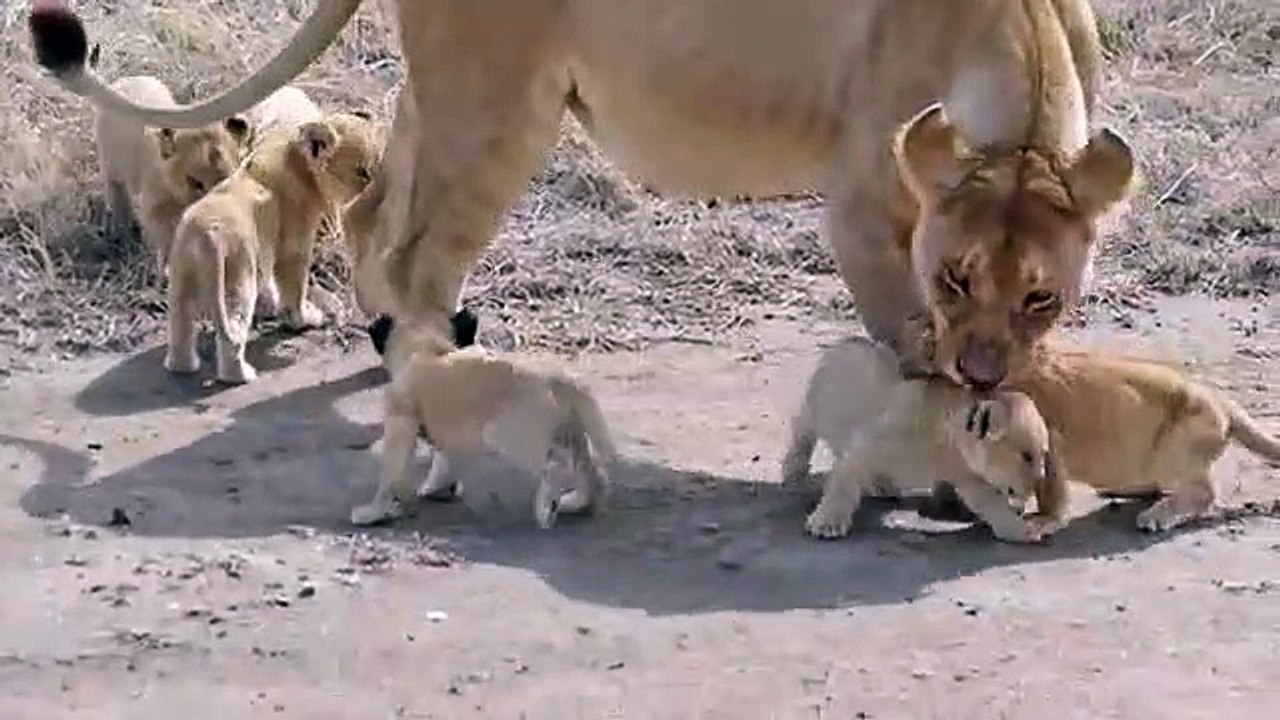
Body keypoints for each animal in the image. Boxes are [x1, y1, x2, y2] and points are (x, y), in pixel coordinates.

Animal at [92, 74, 250, 270]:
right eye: (195, 182)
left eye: (229, 176)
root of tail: (124, 80)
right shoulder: (154, 203)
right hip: (110, 167)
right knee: (116, 197)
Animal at [164, 113, 380, 384]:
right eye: (364, 172)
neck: (299, 161)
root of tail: (205, 238)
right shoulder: (294, 243)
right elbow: (293, 285)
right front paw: (306, 318)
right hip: (238, 276)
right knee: (233, 330)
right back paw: (242, 375)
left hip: (181, 281)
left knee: (180, 325)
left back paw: (183, 366)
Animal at [351, 310, 616, 528]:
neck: (429, 349)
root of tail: (558, 377)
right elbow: (444, 462)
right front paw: (435, 488)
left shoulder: (399, 424)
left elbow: (390, 473)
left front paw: (373, 512)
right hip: (572, 430)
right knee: (588, 468)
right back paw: (577, 502)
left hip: (504, 433)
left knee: (555, 465)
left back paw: (547, 506)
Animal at [784, 336, 1053, 543]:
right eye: (1027, 455)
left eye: (1044, 452)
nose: (1038, 483)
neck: (945, 438)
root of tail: (843, 342)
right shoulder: (890, 430)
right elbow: (849, 468)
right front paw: (826, 524)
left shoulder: (965, 471)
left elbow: (988, 499)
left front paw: (1024, 530)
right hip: (817, 398)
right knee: (803, 428)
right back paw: (793, 470)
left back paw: (883, 485)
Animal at [1010, 345, 1280, 533]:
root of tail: (1221, 401)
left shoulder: (1048, 437)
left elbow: (1050, 487)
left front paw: (1044, 521)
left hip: (1177, 447)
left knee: (1204, 492)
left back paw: (1155, 517)